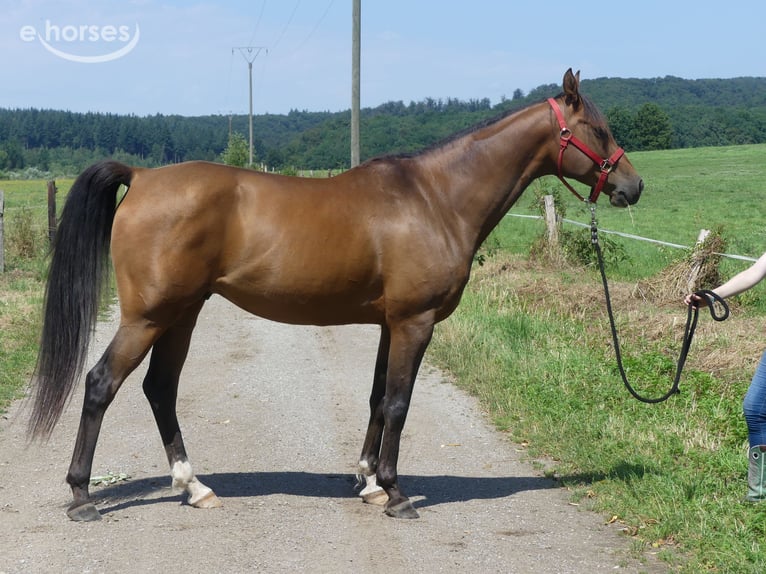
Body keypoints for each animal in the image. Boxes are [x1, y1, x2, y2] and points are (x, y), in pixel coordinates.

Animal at [29, 69, 643, 522]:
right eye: (598, 130)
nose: (632, 186)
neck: (436, 198)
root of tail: (143, 176)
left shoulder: (390, 323)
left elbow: (377, 399)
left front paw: (368, 482)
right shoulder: (416, 322)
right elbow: (398, 403)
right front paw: (396, 494)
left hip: (181, 315)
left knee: (160, 389)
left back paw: (194, 487)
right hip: (149, 317)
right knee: (101, 385)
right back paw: (82, 497)